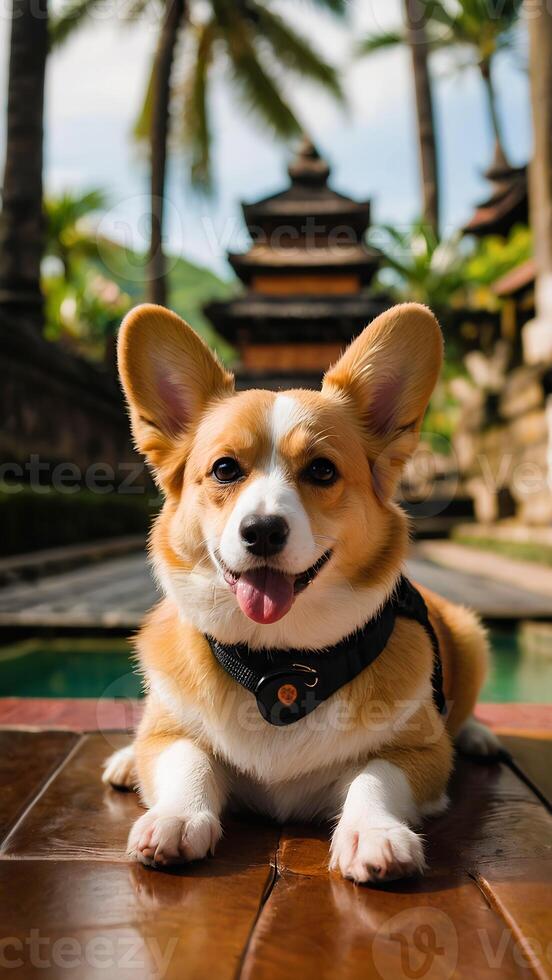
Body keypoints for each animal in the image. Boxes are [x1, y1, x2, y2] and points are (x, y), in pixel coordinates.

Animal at [104, 302, 500, 884]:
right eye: (225, 468)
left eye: (322, 470)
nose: (263, 531)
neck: (279, 664)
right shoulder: (171, 737)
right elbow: (188, 759)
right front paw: (176, 817)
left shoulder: (421, 754)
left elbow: (376, 775)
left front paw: (374, 833)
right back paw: (126, 761)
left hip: (470, 637)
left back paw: (477, 736)